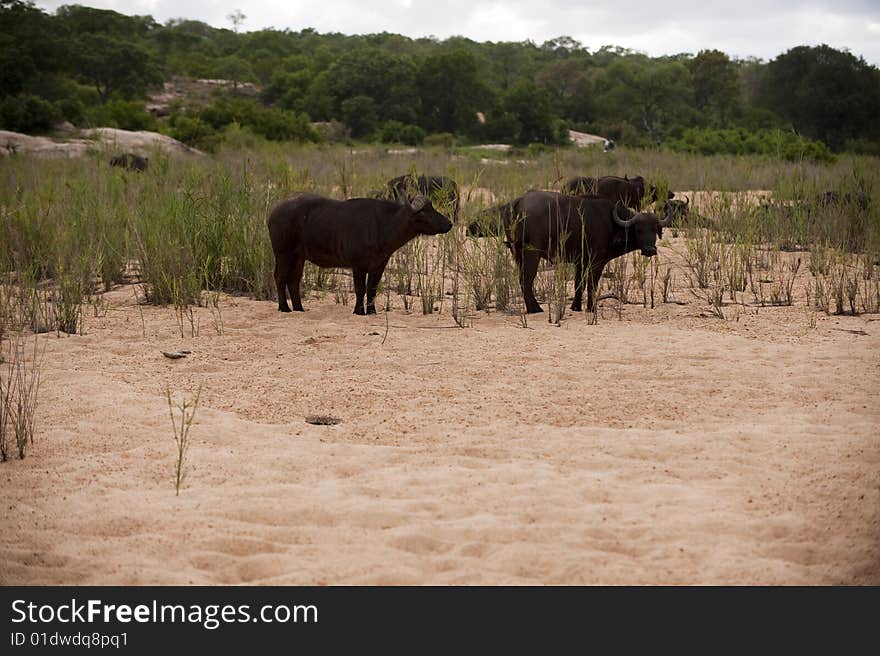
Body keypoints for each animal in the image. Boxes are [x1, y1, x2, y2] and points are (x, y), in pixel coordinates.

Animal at [268, 192, 454, 316]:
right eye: (425, 212)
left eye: (432, 208)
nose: (449, 223)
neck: (382, 226)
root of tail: (274, 212)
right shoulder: (358, 265)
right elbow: (360, 289)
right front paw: (359, 310)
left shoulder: (379, 265)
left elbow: (372, 289)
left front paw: (371, 311)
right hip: (282, 254)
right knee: (280, 277)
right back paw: (284, 307)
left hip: (298, 257)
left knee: (294, 280)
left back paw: (299, 308)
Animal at [498, 191, 672, 314]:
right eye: (639, 230)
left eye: (655, 229)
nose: (650, 250)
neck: (611, 223)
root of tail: (518, 202)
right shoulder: (597, 262)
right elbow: (591, 284)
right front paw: (591, 307)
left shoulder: (580, 262)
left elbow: (578, 284)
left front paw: (576, 307)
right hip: (531, 254)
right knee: (526, 279)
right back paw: (535, 309)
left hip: (517, 254)